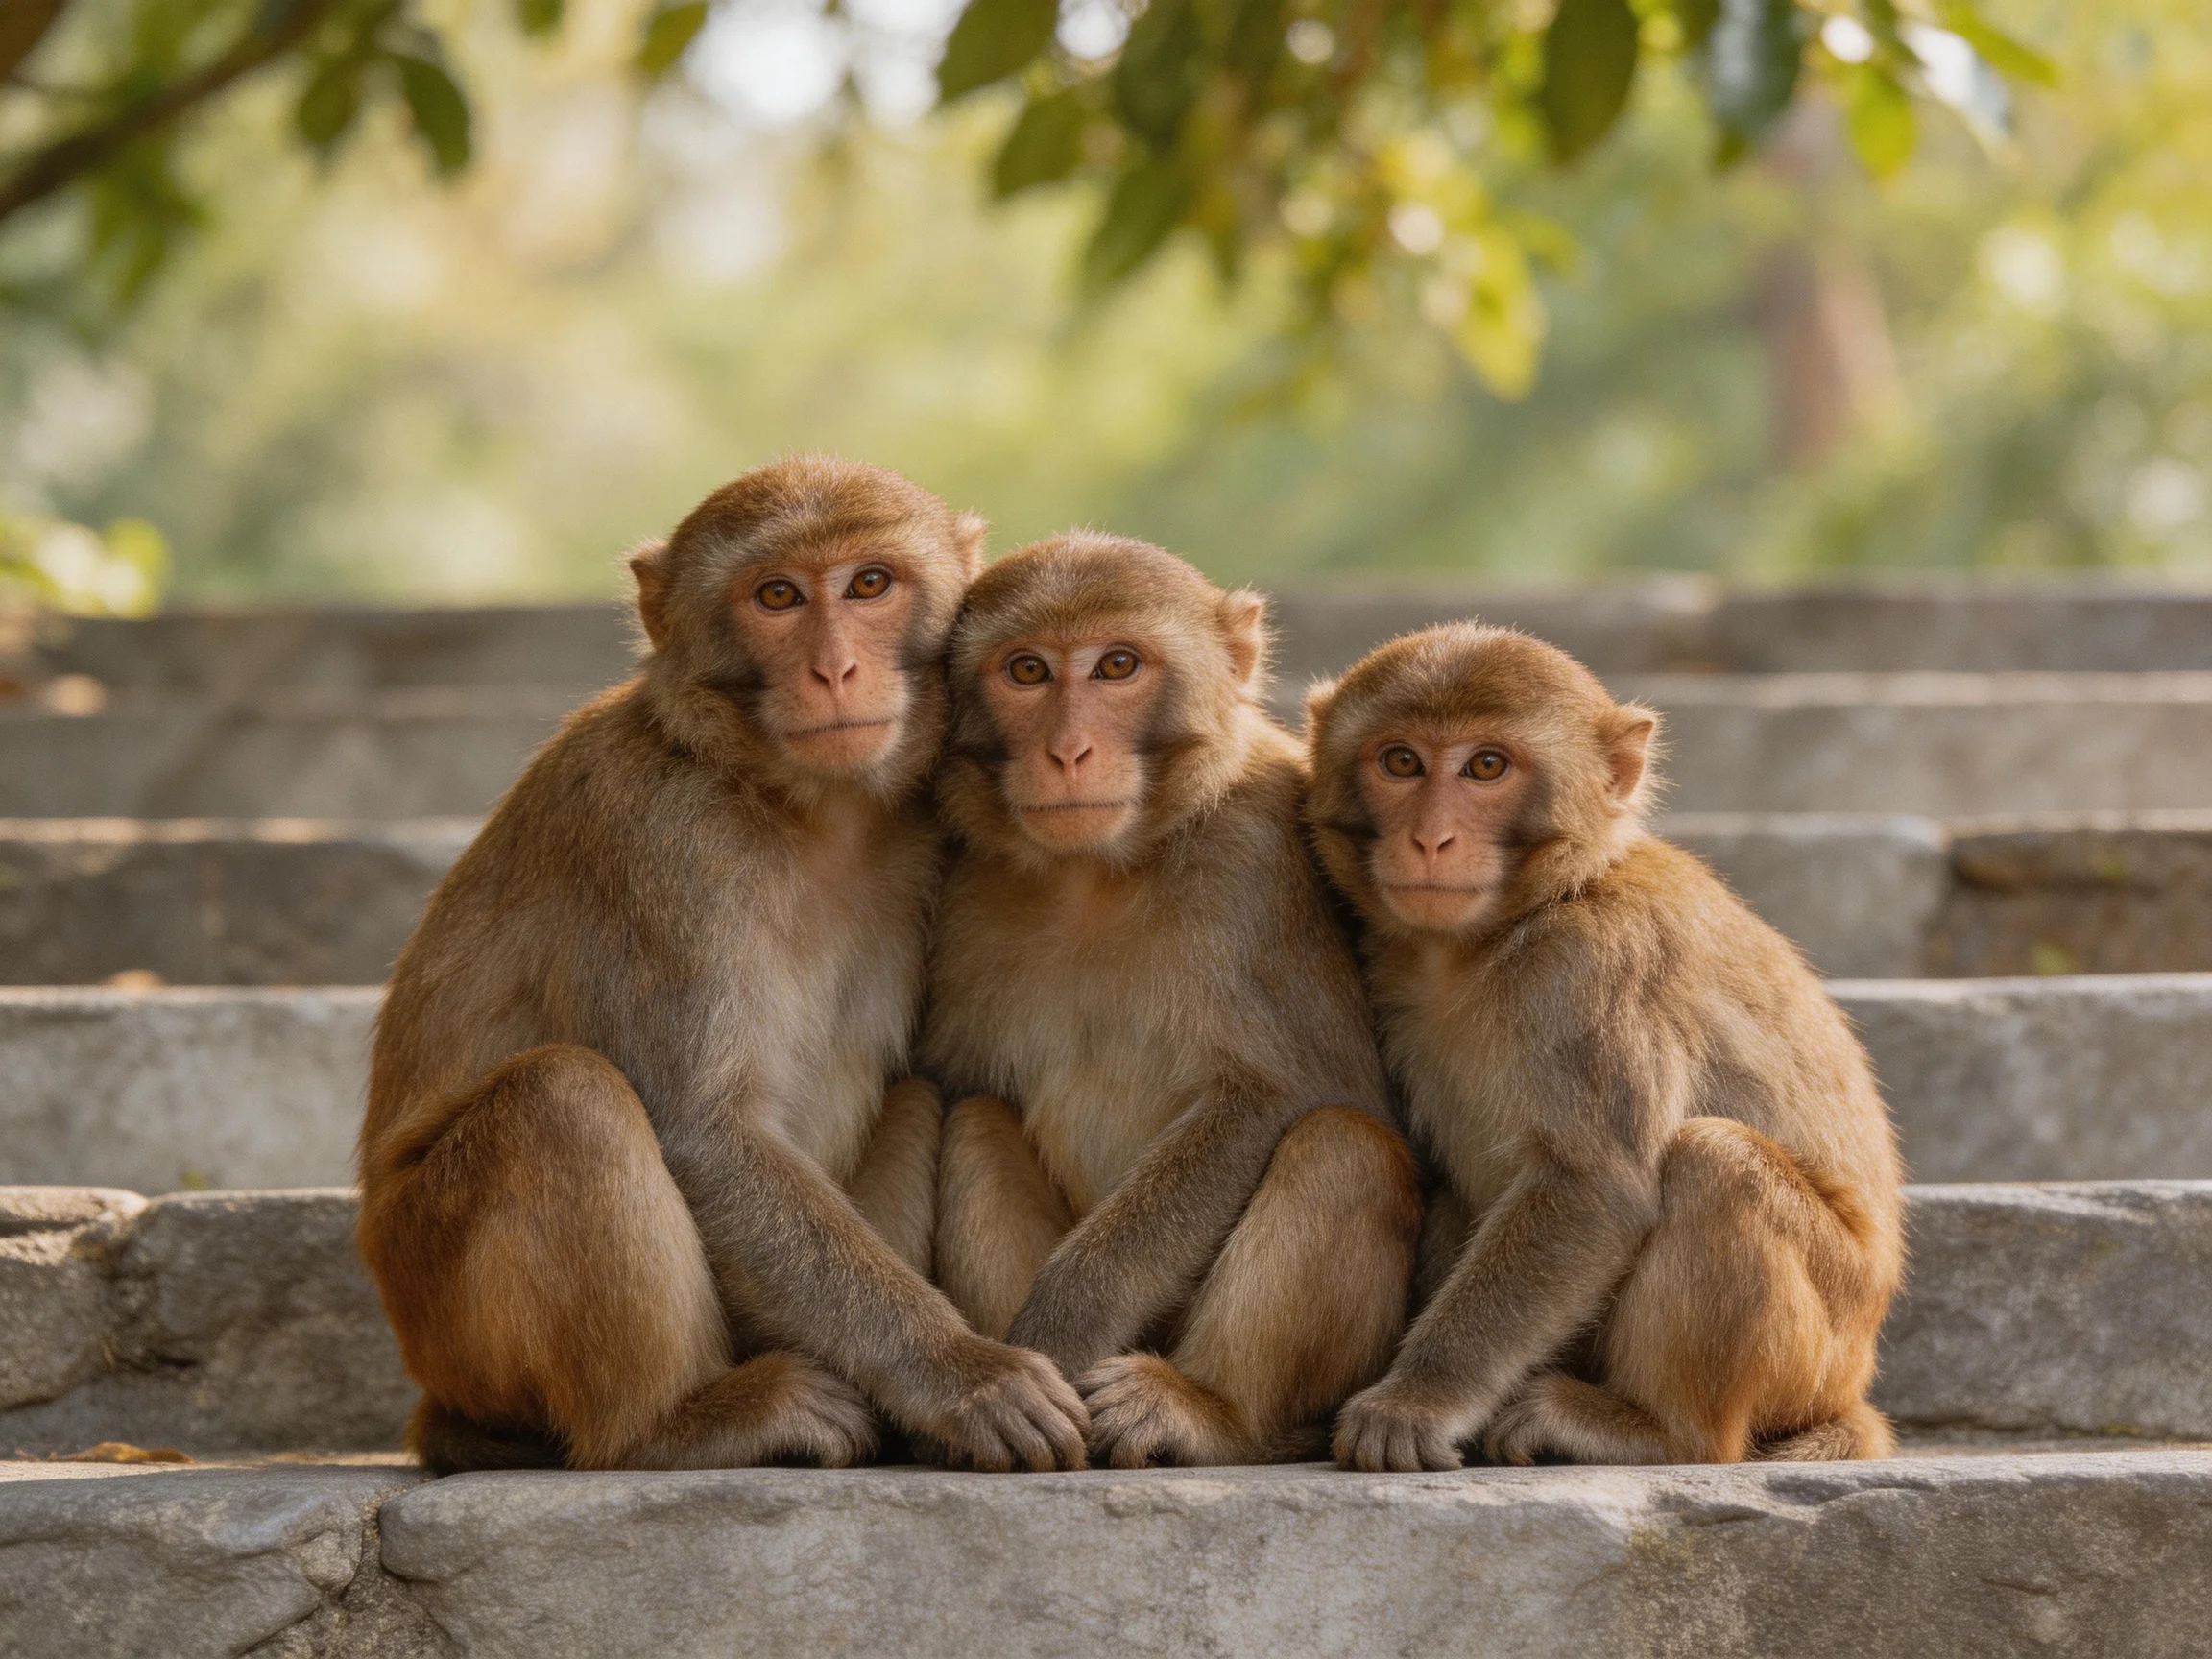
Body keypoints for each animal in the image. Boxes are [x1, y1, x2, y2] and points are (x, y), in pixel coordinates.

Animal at [358, 456, 1089, 1475]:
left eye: (870, 583)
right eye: (777, 596)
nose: (835, 668)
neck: (795, 805)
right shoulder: (653, 845)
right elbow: (706, 1134)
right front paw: (964, 1375)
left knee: (907, 1098)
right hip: (438, 1305)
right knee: (562, 1099)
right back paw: (665, 1428)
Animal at [922, 532, 1422, 1468]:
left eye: (1118, 665)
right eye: (1028, 670)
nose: (1068, 752)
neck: (1099, 872)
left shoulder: (1255, 857)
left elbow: (1293, 1093)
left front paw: (1064, 1329)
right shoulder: (965, 889)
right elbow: (960, 1083)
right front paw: (998, 1385)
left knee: (1343, 1145)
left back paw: (1207, 1414)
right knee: (973, 1121)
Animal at [1304, 622, 1905, 1471]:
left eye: (1486, 766)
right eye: (1402, 761)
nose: (1429, 838)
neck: (1505, 933)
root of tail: (1855, 1383)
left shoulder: (1600, 966)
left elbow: (1593, 1188)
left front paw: (1416, 1400)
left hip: (1820, 1348)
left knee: (1714, 1165)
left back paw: (1660, 1431)